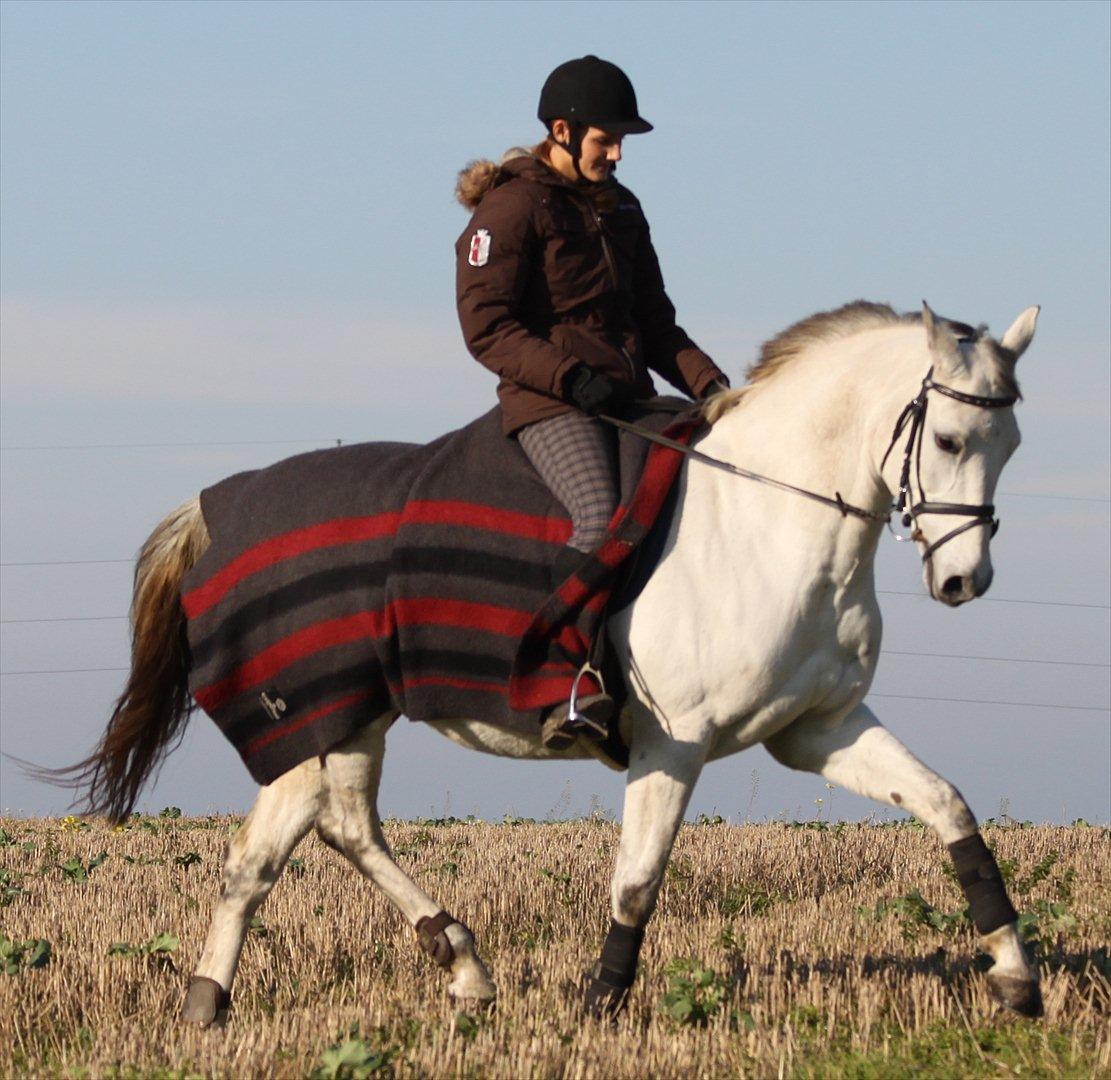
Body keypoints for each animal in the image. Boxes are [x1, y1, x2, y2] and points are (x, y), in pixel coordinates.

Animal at [60, 300, 1039, 1026]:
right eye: (948, 440)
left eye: (1011, 445)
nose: (963, 580)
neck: (769, 526)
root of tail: (215, 504)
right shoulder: (673, 744)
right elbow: (637, 883)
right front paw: (600, 1003)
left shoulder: (818, 730)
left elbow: (949, 809)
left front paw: (1014, 975)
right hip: (313, 715)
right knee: (287, 845)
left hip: (349, 718)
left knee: (314, 836)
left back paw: (409, 972)